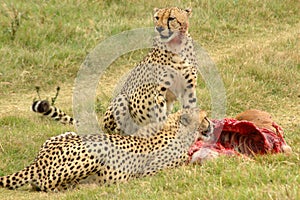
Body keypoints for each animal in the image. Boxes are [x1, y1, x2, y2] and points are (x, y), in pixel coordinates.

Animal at [0, 108, 212, 191]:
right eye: (204, 117)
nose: (211, 123)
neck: (173, 129)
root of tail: (39, 160)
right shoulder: (155, 170)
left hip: (65, 135)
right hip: (94, 153)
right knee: (48, 184)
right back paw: (88, 186)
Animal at [103, 6, 199, 134]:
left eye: (171, 18)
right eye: (157, 18)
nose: (159, 28)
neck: (176, 47)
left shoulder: (189, 89)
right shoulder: (158, 93)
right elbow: (161, 118)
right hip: (122, 99)